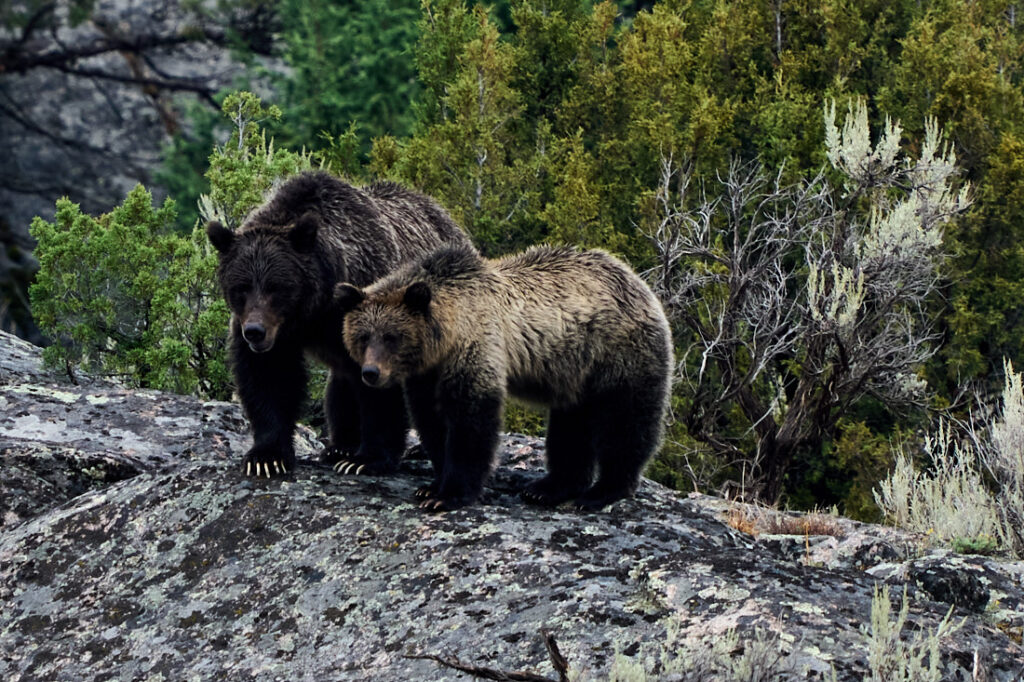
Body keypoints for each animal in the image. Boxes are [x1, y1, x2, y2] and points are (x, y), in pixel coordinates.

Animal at [206, 170, 473, 478]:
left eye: (276, 287)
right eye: (242, 287)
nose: (254, 332)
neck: (315, 309)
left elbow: (380, 387)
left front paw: (367, 459)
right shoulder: (280, 333)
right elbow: (269, 376)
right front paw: (266, 457)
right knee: (341, 386)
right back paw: (340, 446)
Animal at [334, 244, 673, 511]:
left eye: (392, 337)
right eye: (363, 336)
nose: (371, 373)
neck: (446, 335)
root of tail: (640, 283)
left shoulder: (476, 346)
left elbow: (470, 421)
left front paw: (447, 495)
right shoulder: (427, 375)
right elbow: (431, 420)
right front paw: (427, 484)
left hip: (618, 353)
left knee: (625, 419)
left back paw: (601, 491)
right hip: (575, 371)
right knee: (570, 427)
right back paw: (547, 489)